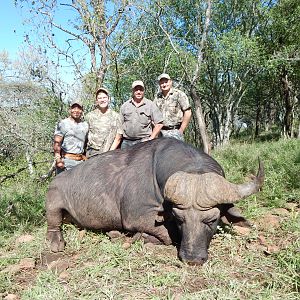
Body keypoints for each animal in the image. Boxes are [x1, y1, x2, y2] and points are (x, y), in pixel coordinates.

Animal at [45, 137, 264, 264]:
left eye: (212, 220)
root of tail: (58, 179)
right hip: (53, 201)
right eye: (179, 219)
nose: (191, 258)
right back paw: (56, 242)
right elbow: (168, 235)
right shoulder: (137, 216)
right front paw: (138, 237)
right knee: (53, 223)